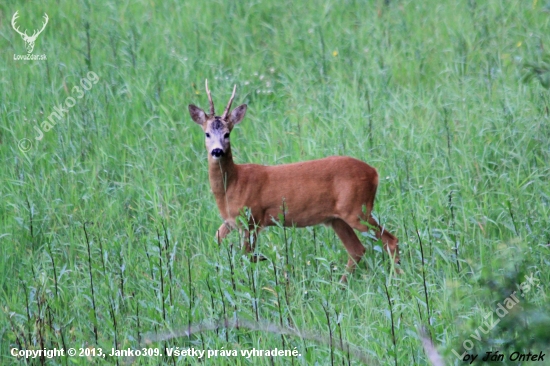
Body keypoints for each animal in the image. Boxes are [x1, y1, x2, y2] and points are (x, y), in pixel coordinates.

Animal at [190, 81, 402, 284]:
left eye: (227, 134)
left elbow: (246, 256)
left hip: (357, 209)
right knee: (357, 249)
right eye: (207, 134)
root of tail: (374, 173)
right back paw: (340, 285)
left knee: (390, 240)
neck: (233, 185)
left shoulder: (253, 218)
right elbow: (216, 241)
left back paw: (397, 279)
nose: (217, 151)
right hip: (337, 218)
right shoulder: (230, 221)